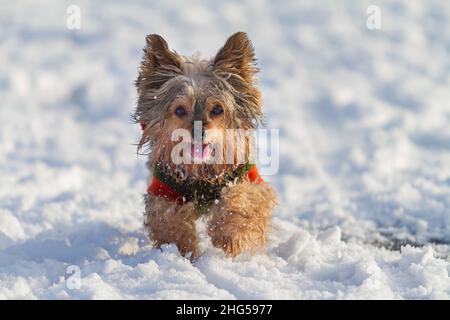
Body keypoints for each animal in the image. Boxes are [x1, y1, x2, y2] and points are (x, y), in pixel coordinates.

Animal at [132, 31, 276, 260]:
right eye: (180, 110)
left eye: (217, 109)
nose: (198, 131)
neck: (201, 172)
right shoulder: (164, 190)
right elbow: (168, 221)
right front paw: (182, 252)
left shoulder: (248, 179)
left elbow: (241, 199)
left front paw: (229, 236)